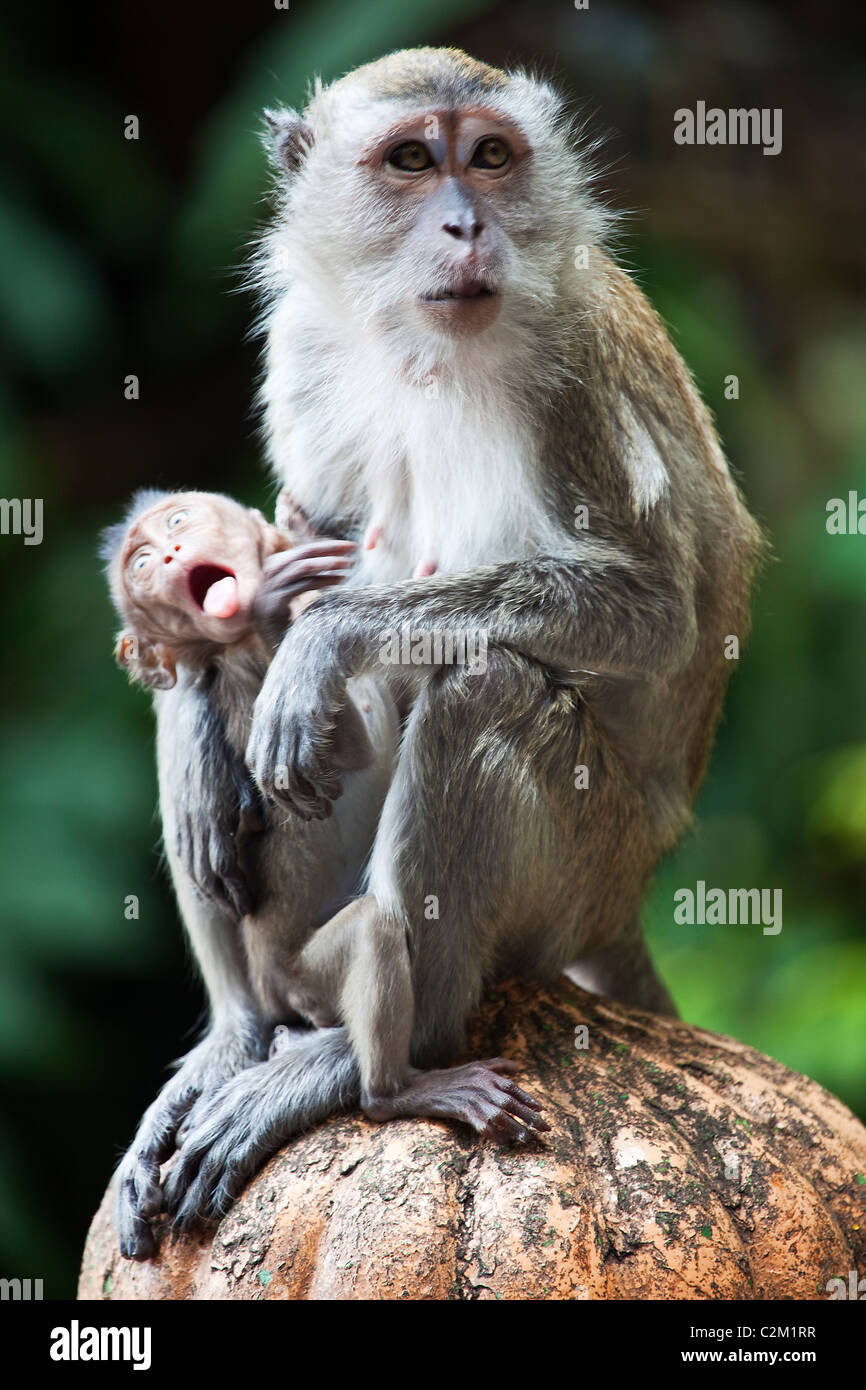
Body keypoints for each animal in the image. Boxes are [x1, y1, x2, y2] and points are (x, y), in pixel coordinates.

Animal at [104, 492, 544, 1262]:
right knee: (373, 930)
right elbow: (338, 755)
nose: (167, 555)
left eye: (178, 525)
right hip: (303, 977)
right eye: (139, 564)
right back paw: (393, 1093)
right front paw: (271, 607)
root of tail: (272, 980)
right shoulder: (250, 685)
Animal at [157, 46, 767, 1228]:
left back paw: (380, 1066)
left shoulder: (574, 371)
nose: (464, 224)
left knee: (480, 692)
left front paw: (331, 637)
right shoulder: (305, 342)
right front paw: (213, 726)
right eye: (409, 160)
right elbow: (296, 544)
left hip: (581, 865)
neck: (423, 346)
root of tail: (626, 896)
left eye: (488, 156)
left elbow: (651, 611)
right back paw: (239, 1034)